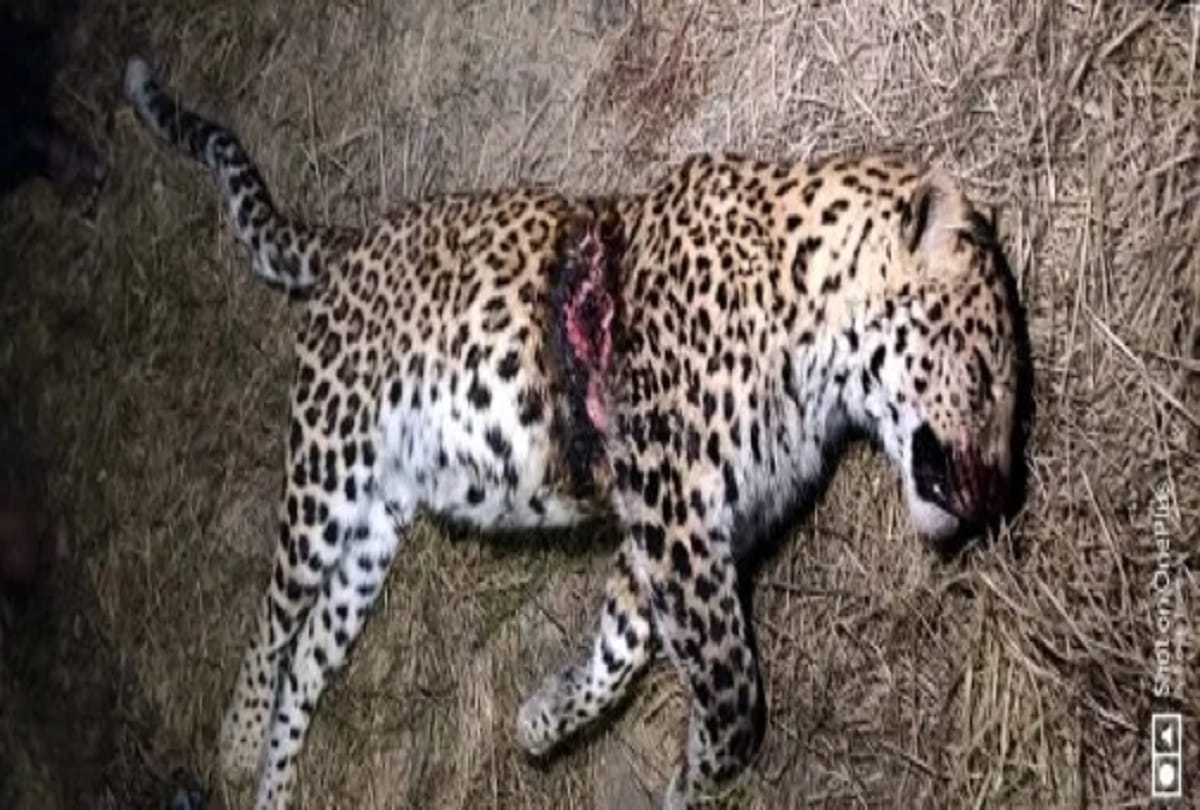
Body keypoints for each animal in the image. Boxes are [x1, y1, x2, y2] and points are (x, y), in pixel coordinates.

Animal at [123, 54, 1027, 810]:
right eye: (986, 377)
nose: (996, 496)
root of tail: (352, 241)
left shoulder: (666, 524)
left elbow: (623, 648)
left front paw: (543, 718)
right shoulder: (675, 506)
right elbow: (732, 692)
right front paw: (695, 784)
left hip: (375, 528)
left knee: (309, 653)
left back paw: (273, 787)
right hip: (329, 462)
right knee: (275, 616)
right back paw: (236, 744)